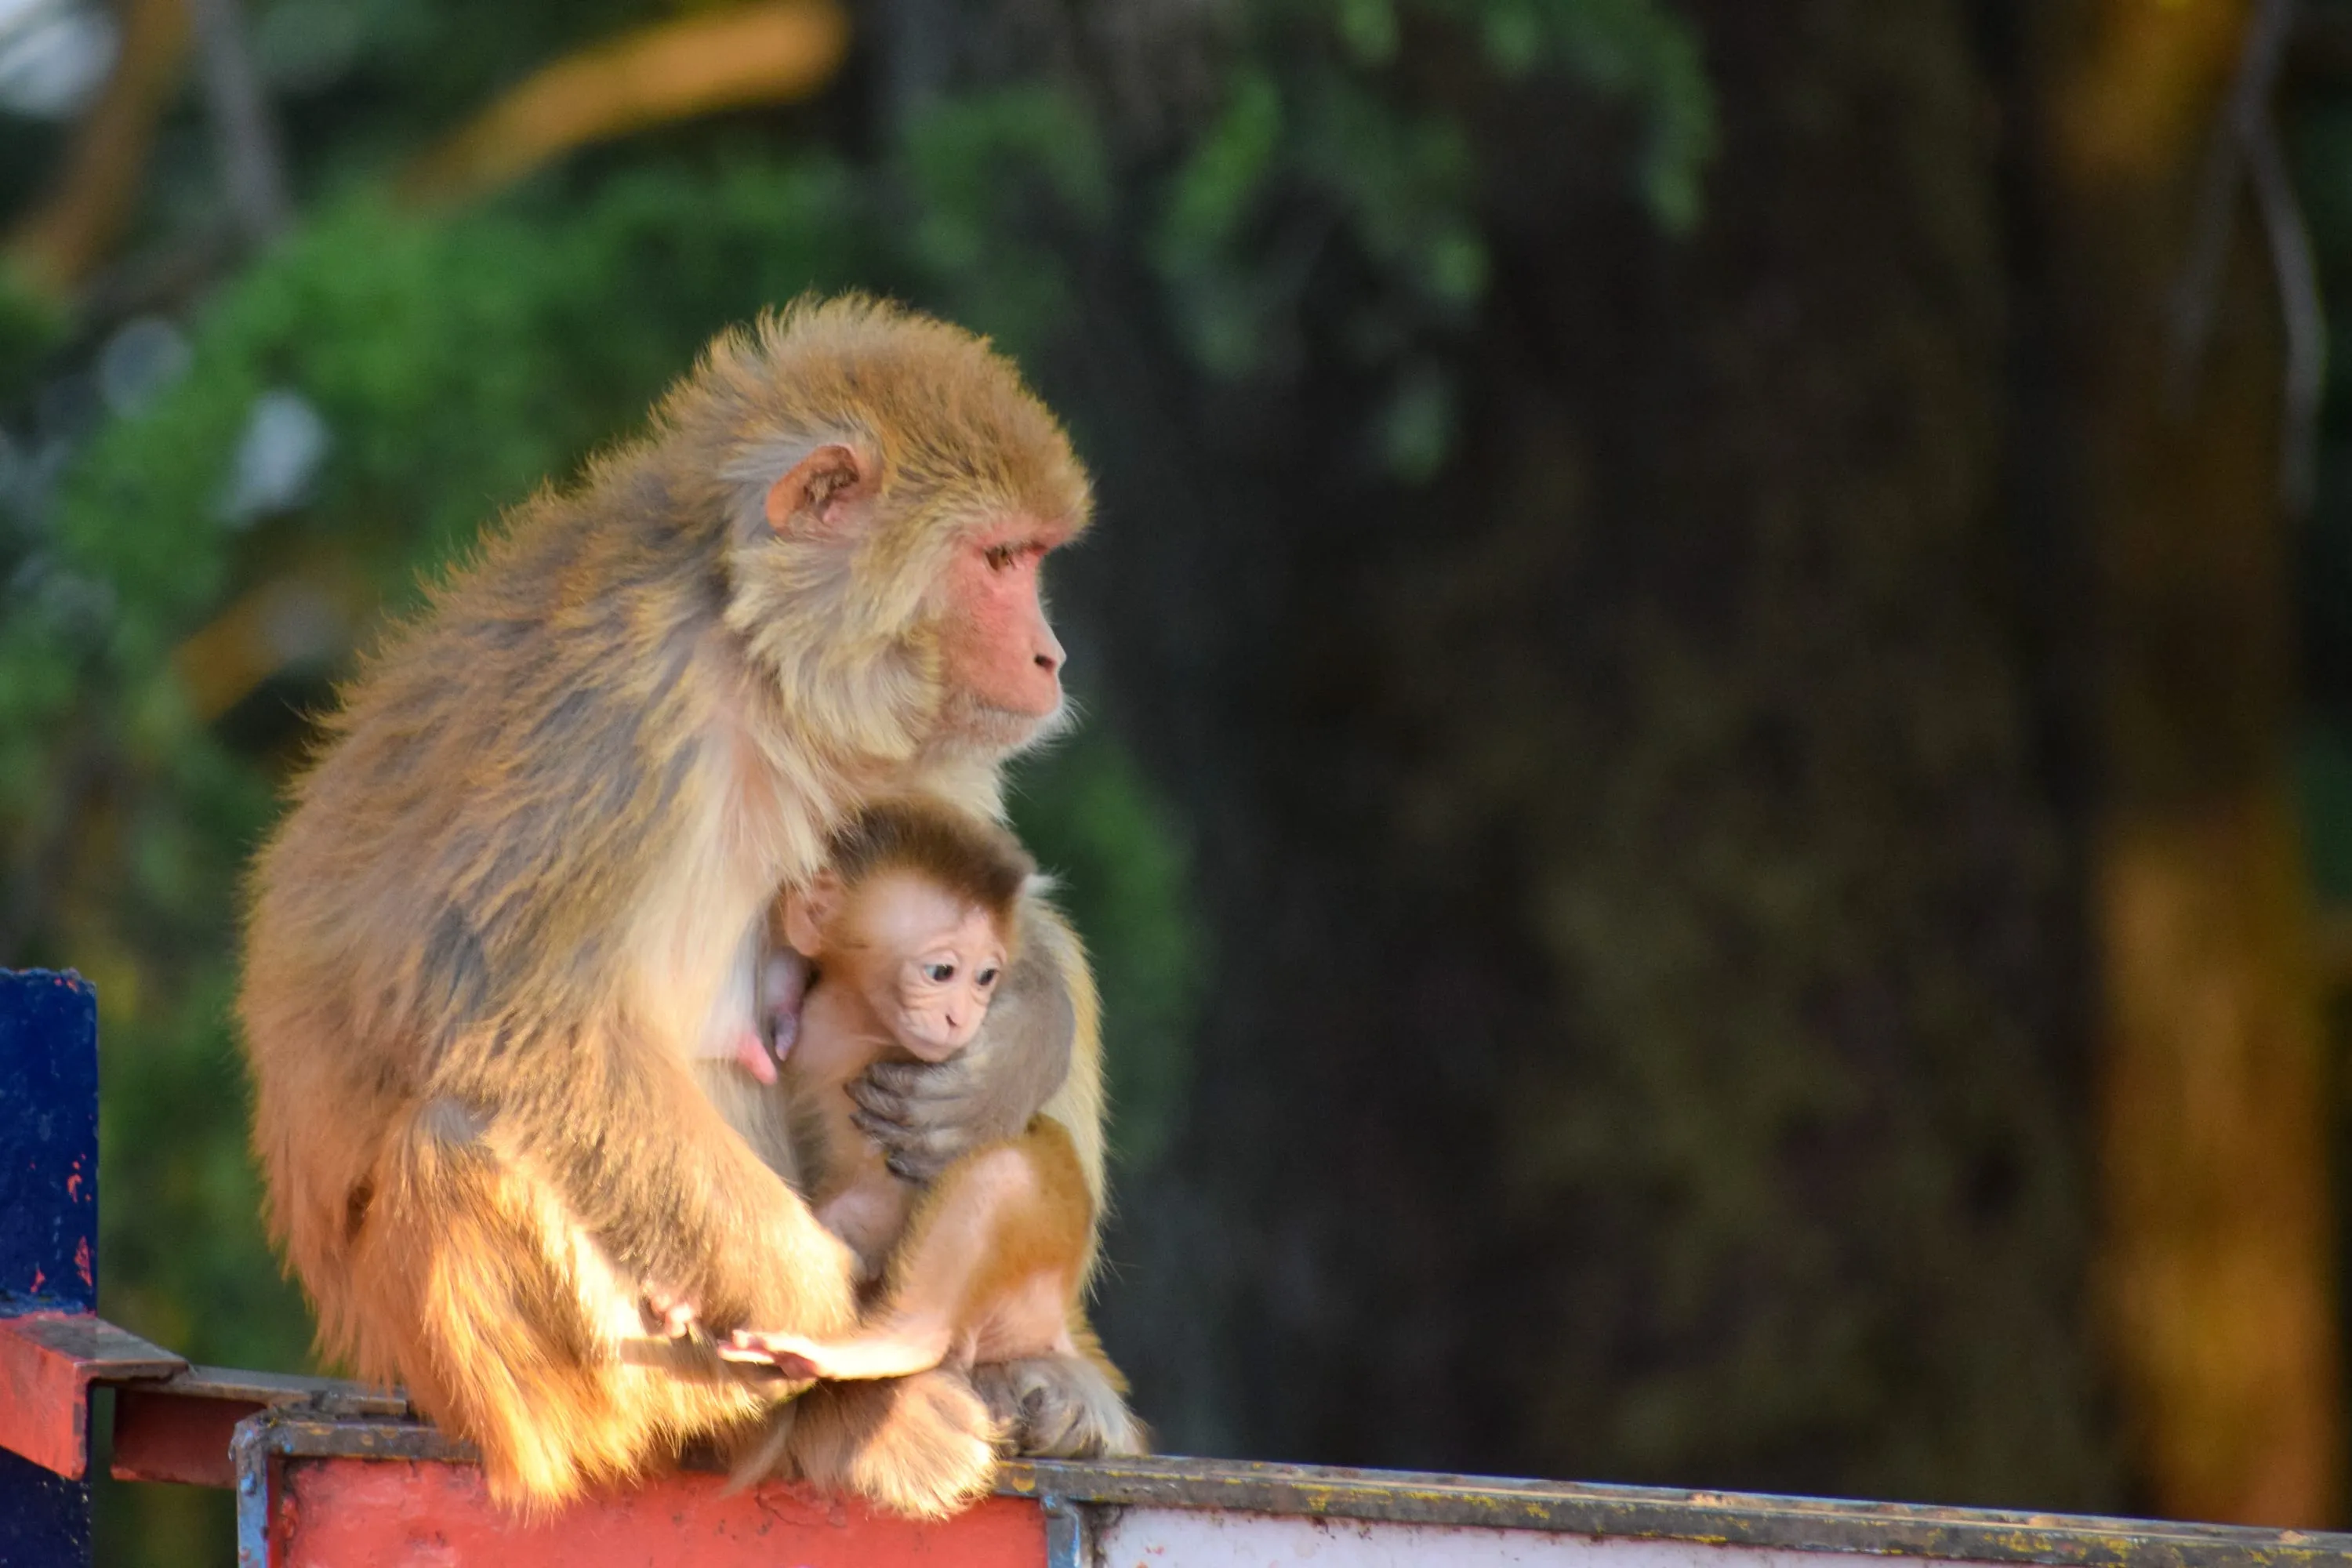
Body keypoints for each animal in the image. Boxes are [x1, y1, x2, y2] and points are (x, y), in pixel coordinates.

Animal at [239, 295, 1138, 1517]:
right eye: (999, 559)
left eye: (1032, 558)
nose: (1051, 655)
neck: (761, 657)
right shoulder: (619, 710)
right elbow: (522, 1019)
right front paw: (826, 1306)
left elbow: (1007, 906)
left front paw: (1006, 1054)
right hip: (498, 1386)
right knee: (464, 1135)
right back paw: (824, 1408)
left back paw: (1033, 1364)